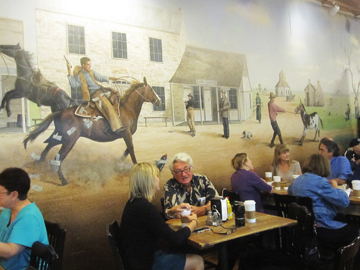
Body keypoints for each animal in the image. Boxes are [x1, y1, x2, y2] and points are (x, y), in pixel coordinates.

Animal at [23, 77, 161, 185]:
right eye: (151, 89)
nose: (159, 101)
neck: (127, 109)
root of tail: (60, 112)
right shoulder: (126, 134)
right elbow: (131, 149)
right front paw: (136, 166)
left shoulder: (126, 136)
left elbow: (128, 150)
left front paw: (119, 163)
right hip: (69, 141)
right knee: (58, 158)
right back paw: (63, 180)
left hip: (61, 137)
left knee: (48, 145)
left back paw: (38, 162)